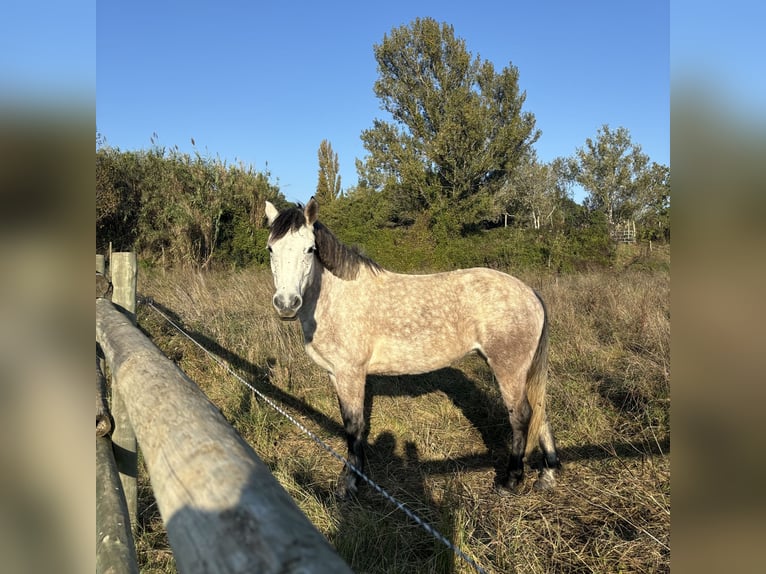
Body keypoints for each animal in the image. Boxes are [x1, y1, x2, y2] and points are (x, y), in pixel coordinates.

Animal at [268, 200, 560, 498]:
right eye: (271, 249)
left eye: (309, 249)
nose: (287, 304)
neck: (337, 298)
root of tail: (530, 293)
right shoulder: (335, 373)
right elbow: (350, 423)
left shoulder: (351, 373)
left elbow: (353, 426)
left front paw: (349, 482)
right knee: (540, 411)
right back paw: (547, 474)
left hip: (508, 368)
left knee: (521, 416)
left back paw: (511, 481)